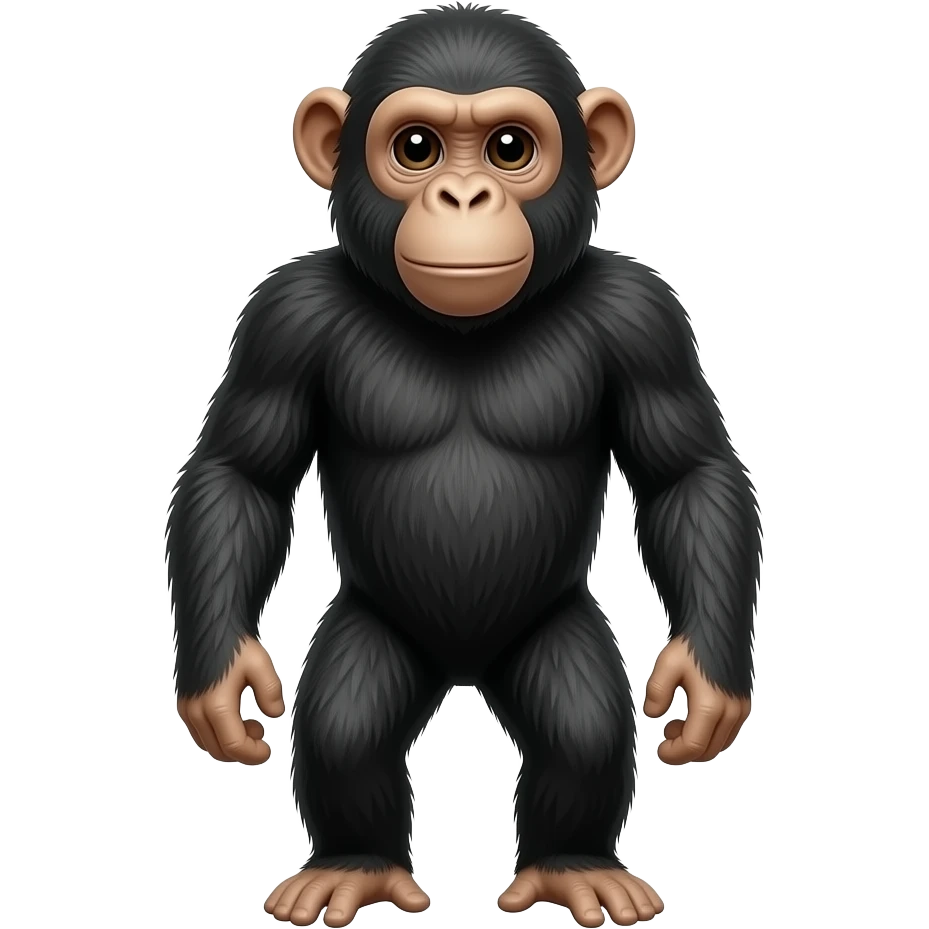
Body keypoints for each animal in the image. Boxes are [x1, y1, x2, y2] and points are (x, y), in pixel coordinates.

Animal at [166, 4, 761, 927]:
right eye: (415, 147)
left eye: (510, 148)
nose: (463, 196)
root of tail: (463, 666)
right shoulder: (283, 316)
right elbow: (242, 474)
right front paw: (223, 678)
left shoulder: (644, 316)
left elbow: (685, 474)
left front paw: (703, 679)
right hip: (376, 628)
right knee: (346, 726)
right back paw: (354, 864)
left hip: (550, 630)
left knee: (581, 727)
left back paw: (573, 864)